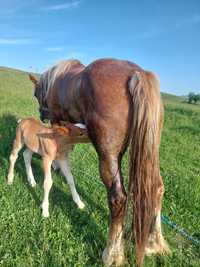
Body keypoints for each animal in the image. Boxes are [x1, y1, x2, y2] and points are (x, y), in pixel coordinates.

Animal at [28, 59, 170, 267]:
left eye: (36, 94)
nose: (42, 114)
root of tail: (136, 73)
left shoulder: (57, 120)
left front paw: (56, 166)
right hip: (151, 148)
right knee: (156, 188)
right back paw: (154, 243)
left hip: (107, 155)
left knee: (118, 198)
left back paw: (112, 255)